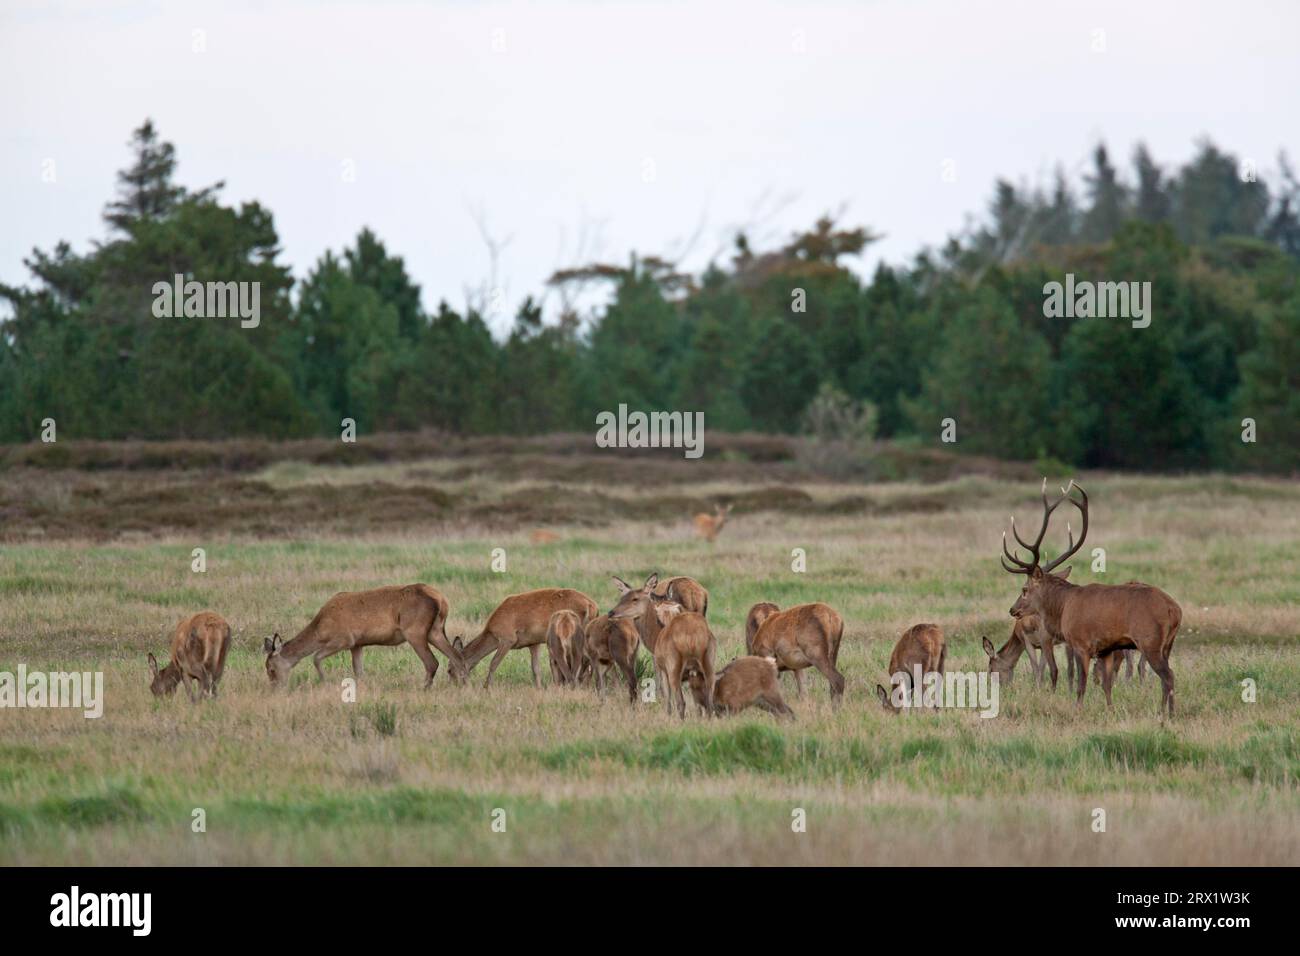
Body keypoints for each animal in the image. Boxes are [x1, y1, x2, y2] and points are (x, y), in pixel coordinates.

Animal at [265, 582, 467, 686]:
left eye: (271, 669)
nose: (276, 687)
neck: (320, 629)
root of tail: (442, 600)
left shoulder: (344, 639)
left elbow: (315, 657)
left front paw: (324, 681)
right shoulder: (357, 644)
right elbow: (359, 671)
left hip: (414, 631)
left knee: (432, 662)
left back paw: (424, 688)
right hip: (435, 630)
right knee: (458, 657)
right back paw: (463, 685)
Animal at [452, 587, 598, 691]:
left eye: (450, 670)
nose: (454, 686)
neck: (492, 632)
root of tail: (592, 606)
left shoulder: (507, 639)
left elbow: (493, 663)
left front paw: (486, 687)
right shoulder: (533, 643)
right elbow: (535, 668)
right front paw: (539, 688)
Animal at [998, 481, 1185, 712]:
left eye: (1024, 589)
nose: (1012, 609)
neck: (1062, 608)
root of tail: (1175, 610)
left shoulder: (1080, 643)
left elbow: (1082, 684)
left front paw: (1077, 710)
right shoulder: (1106, 649)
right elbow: (1107, 685)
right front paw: (1111, 710)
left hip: (1150, 641)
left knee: (1168, 676)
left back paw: (1166, 714)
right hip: (1169, 643)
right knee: (1165, 677)